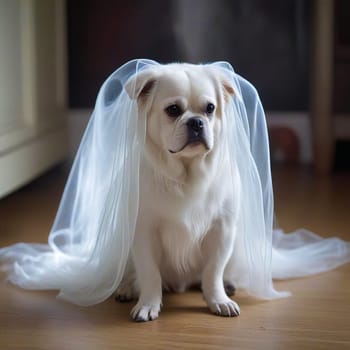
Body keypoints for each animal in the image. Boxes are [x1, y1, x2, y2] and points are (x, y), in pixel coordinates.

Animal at [116, 64, 239, 322]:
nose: (196, 122)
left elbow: (213, 271)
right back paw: (126, 287)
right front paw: (148, 304)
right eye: (173, 110)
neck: (186, 174)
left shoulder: (222, 230)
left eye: (210, 108)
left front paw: (218, 299)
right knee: (132, 272)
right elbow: (150, 273)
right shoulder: (144, 232)